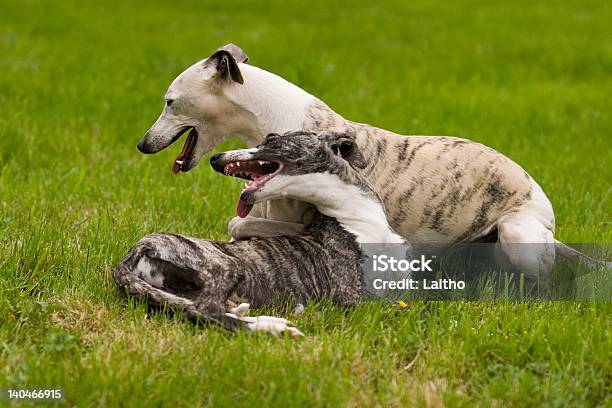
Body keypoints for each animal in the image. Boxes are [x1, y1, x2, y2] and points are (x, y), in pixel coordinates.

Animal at [113, 131, 406, 338]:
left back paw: (271, 322)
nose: (216, 159)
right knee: (202, 312)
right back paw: (272, 329)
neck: (354, 215)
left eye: (272, 138)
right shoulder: (353, 300)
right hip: (225, 265)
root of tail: (133, 254)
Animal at [137, 45, 604, 280]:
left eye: (169, 101)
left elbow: (239, 224)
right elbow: (238, 227)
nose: (142, 144)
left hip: (516, 231)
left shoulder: (300, 221)